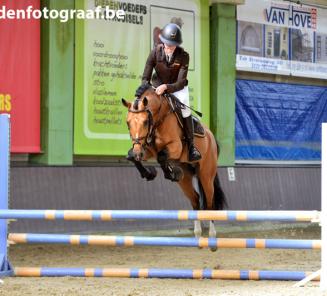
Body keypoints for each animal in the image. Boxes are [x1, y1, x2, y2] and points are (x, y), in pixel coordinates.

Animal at [121, 86, 227, 251]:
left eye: (145, 122)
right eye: (128, 122)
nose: (138, 152)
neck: (158, 118)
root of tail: (211, 136)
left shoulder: (175, 147)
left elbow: (162, 156)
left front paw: (170, 172)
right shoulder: (147, 149)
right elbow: (132, 156)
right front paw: (151, 173)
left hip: (206, 175)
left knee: (210, 204)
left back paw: (212, 239)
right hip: (186, 179)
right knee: (195, 200)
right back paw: (198, 237)